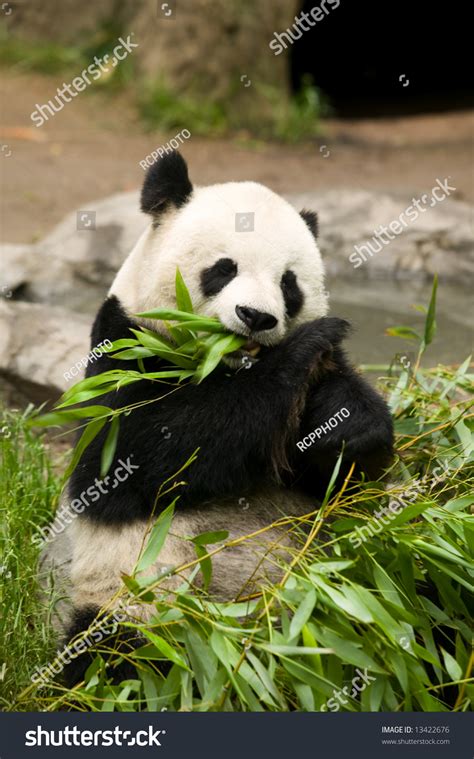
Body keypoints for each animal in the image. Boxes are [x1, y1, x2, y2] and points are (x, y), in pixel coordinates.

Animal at [40, 151, 394, 684]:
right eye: (223, 269)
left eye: (288, 283)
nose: (256, 317)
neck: (224, 365)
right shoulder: (121, 350)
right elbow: (140, 453)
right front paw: (298, 353)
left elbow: (344, 479)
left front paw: (351, 424)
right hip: (138, 607)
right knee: (119, 659)